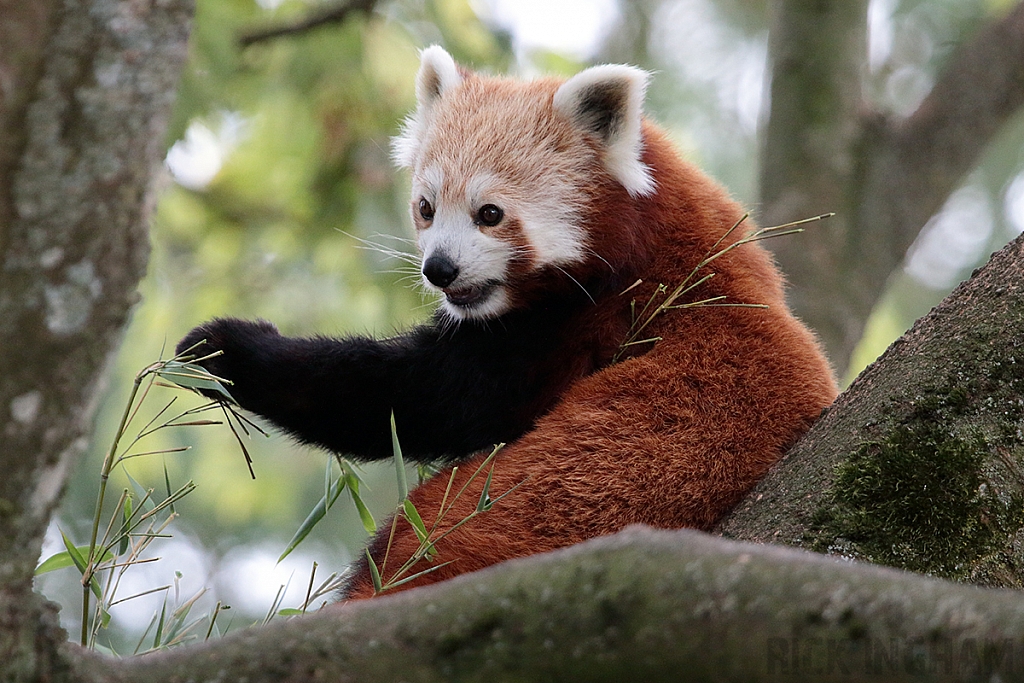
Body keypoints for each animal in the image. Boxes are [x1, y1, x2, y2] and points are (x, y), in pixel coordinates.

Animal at [178, 46, 839, 598]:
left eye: (490, 214)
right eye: (425, 208)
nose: (439, 269)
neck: (651, 231)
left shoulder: (592, 315)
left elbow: (421, 397)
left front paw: (228, 349)